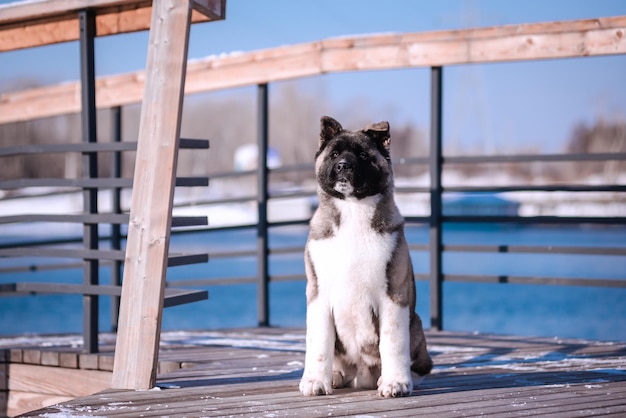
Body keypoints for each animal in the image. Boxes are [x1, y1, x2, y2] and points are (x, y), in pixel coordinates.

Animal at [298, 116, 428, 396]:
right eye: (334, 154)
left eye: (362, 155)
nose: (343, 165)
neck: (352, 209)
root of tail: (361, 377)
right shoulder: (318, 296)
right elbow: (319, 344)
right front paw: (315, 381)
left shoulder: (393, 296)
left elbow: (392, 342)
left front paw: (395, 383)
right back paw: (334, 377)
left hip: (416, 325)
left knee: (422, 366)